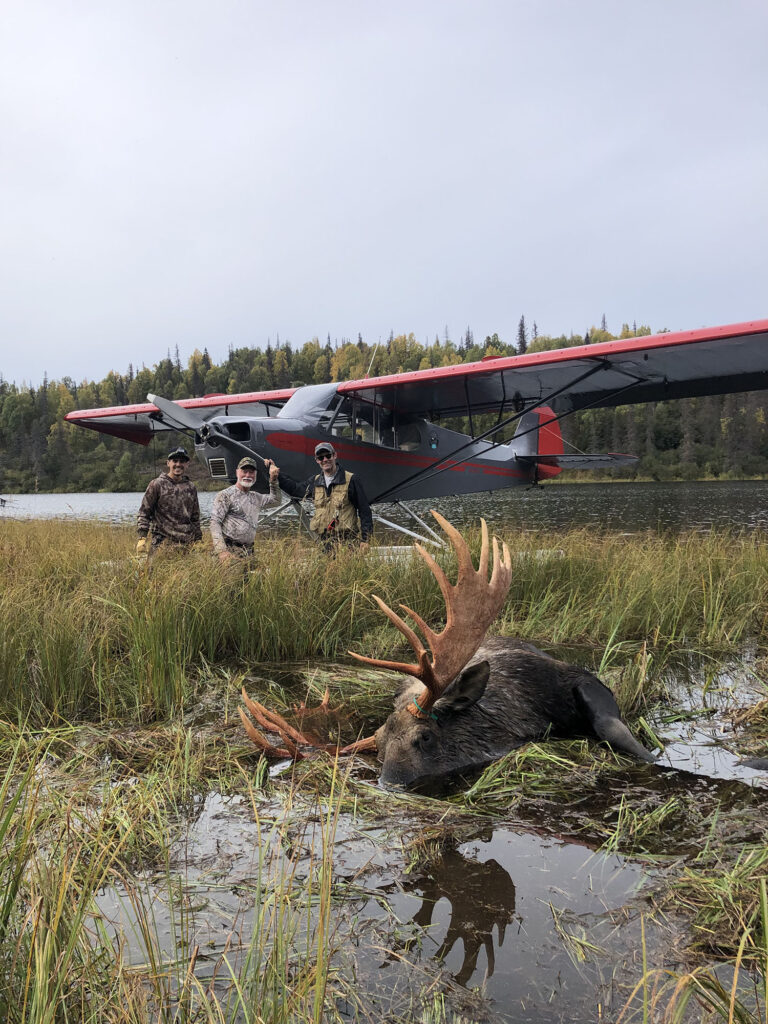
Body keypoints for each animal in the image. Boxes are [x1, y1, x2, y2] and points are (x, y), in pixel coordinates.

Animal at [240, 512, 655, 790]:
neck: (522, 715)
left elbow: (614, 727)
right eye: (379, 749)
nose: (390, 786)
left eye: (424, 737)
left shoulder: (579, 680)